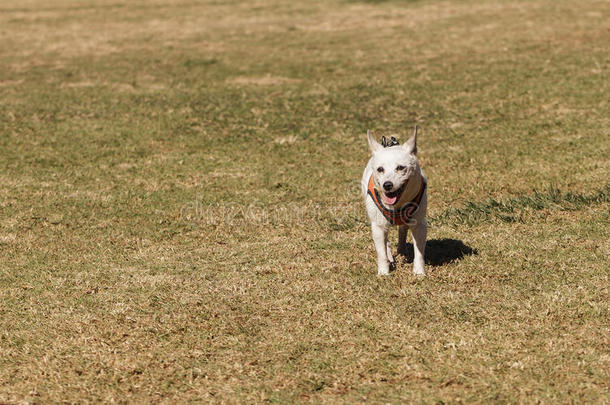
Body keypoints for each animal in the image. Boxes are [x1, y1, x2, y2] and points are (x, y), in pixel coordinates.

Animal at [358, 127, 426, 274]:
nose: (387, 185)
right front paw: (384, 272)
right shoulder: (378, 227)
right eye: (380, 169)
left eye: (400, 167)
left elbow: (419, 251)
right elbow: (381, 252)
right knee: (386, 242)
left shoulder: (419, 225)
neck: (397, 205)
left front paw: (419, 272)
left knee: (403, 229)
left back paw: (401, 250)